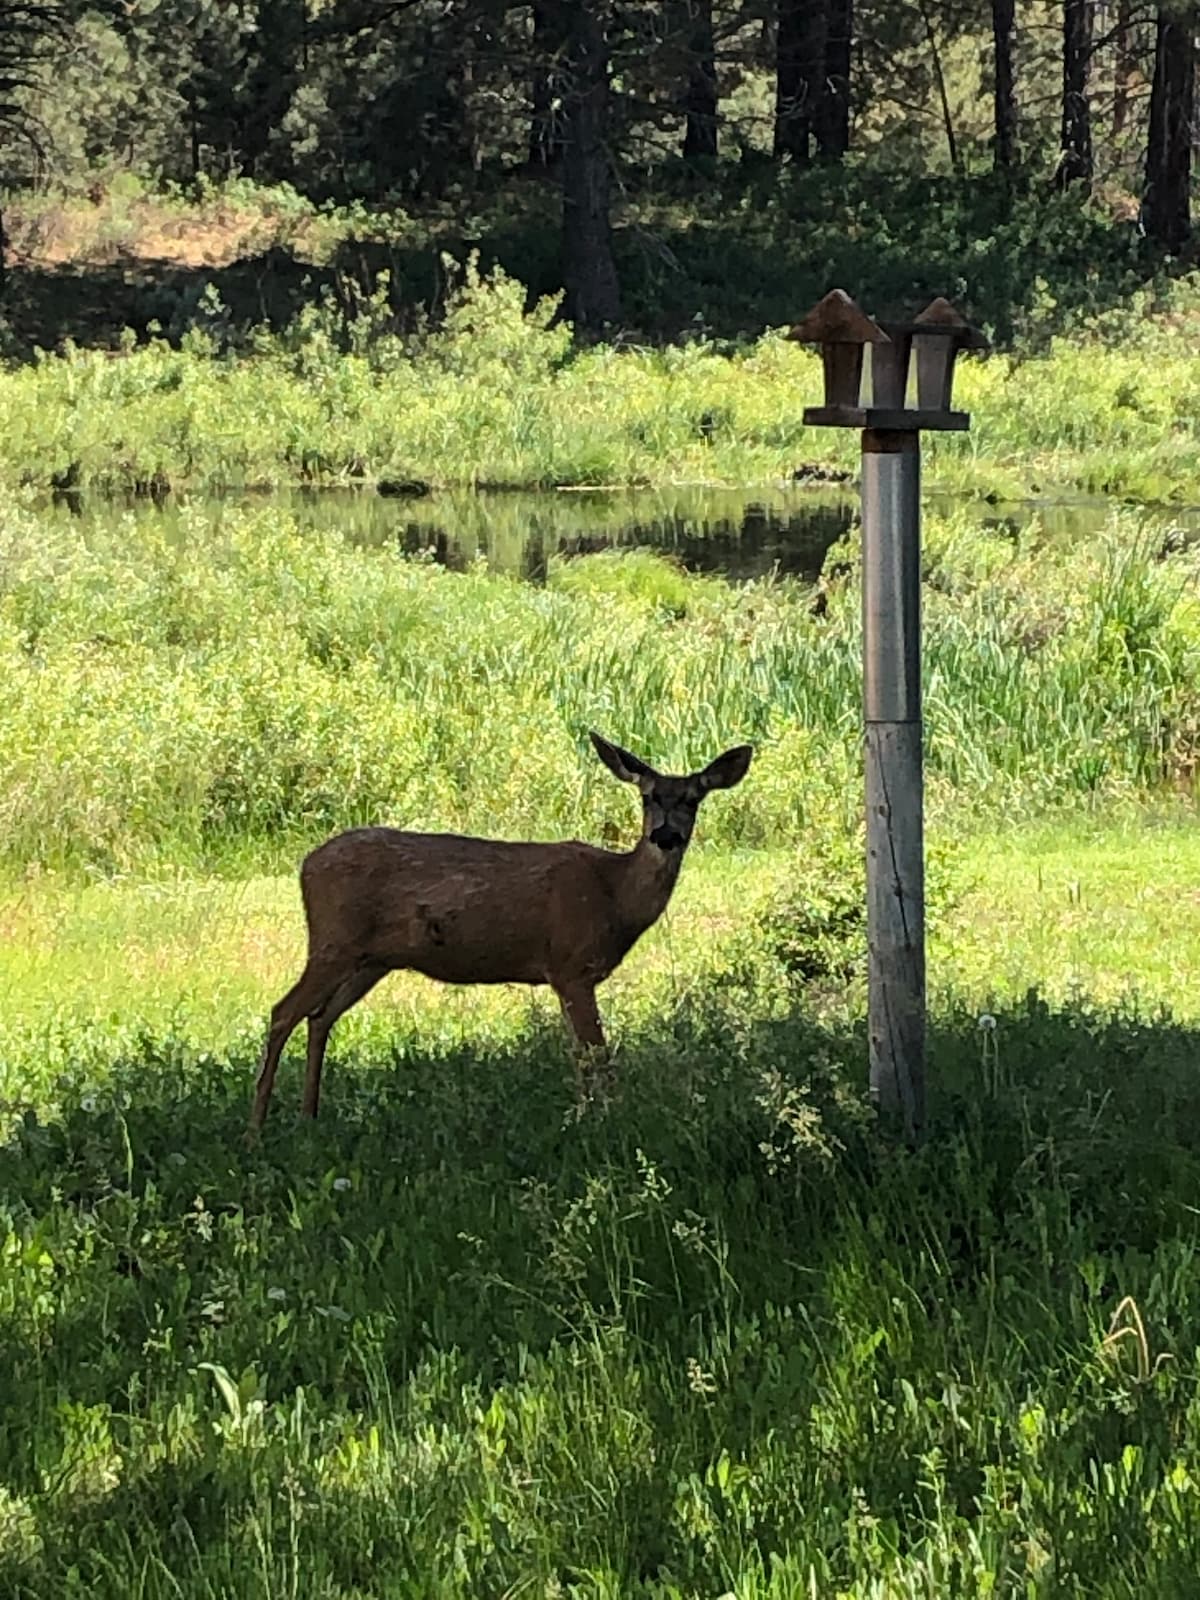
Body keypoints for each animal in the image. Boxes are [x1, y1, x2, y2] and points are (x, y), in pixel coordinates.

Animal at [251, 732, 752, 1132]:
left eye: (693, 799)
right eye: (649, 797)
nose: (665, 837)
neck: (614, 895)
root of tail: (306, 865)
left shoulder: (569, 975)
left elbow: (581, 1055)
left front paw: (586, 1115)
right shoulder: (569, 965)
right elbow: (595, 1055)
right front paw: (603, 1120)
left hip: (370, 960)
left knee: (319, 1017)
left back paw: (309, 1116)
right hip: (332, 941)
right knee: (283, 1011)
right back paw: (256, 1127)